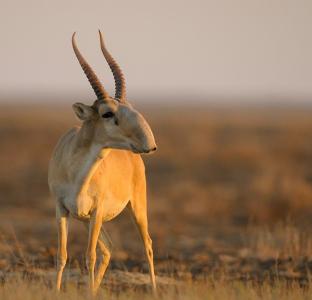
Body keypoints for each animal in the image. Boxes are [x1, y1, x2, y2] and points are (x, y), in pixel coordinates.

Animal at [47, 31, 157, 294]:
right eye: (107, 113)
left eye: (130, 107)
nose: (149, 143)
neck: (76, 171)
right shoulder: (61, 209)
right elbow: (62, 256)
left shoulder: (96, 212)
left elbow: (89, 256)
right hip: (85, 220)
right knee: (108, 248)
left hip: (136, 208)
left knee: (147, 244)